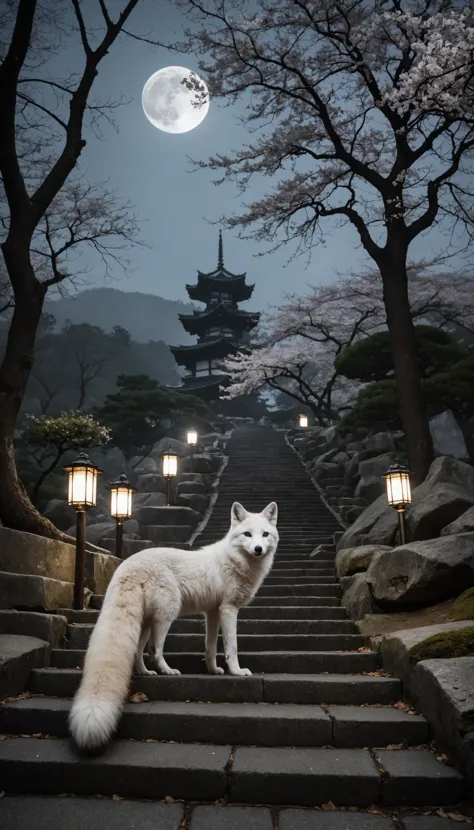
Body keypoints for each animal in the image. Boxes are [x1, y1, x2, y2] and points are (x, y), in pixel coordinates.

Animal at [69, 500, 278, 752]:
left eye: (265, 535)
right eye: (247, 534)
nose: (258, 549)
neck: (235, 560)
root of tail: (126, 565)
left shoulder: (212, 612)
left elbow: (210, 647)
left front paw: (212, 670)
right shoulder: (229, 609)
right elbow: (232, 647)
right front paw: (236, 672)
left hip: (146, 622)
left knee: (138, 651)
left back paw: (146, 672)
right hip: (166, 615)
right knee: (154, 650)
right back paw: (167, 671)